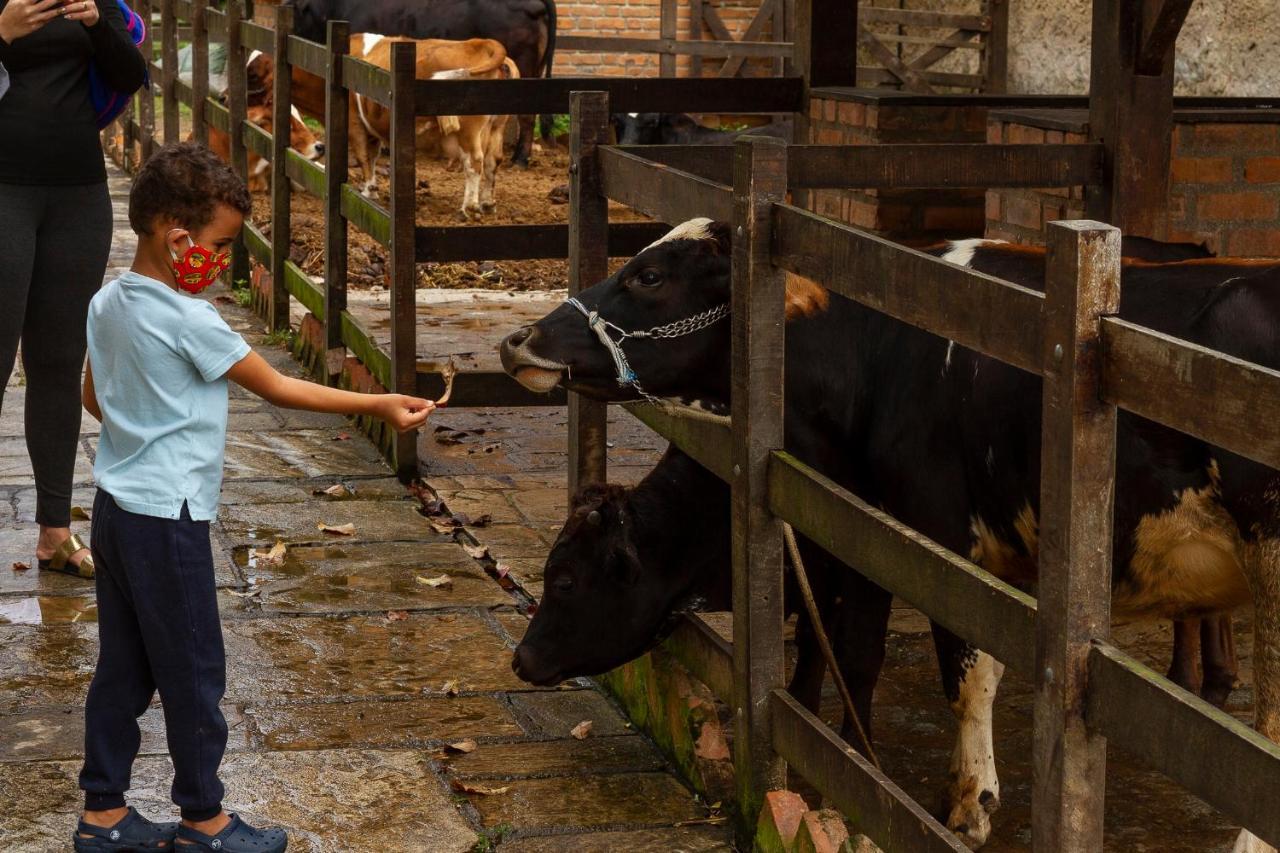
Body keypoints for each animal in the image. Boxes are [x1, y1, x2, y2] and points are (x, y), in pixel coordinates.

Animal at [499, 220, 1280, 850]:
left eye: (650, 276)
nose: (516, 340)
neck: (880, 356)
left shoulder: (936, 541)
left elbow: (951, 672)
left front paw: (953, 800)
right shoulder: (859, 540)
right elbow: (839, 652)